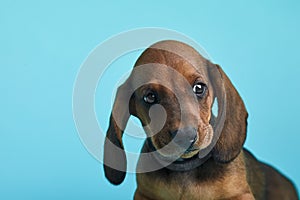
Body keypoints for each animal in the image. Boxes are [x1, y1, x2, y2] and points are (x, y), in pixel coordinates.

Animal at [103, 39, 298, 199]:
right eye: (149, 97)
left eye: (199, 87)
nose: (185, 137)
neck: (185, 169)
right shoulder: (144, 195)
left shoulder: (241, 194)